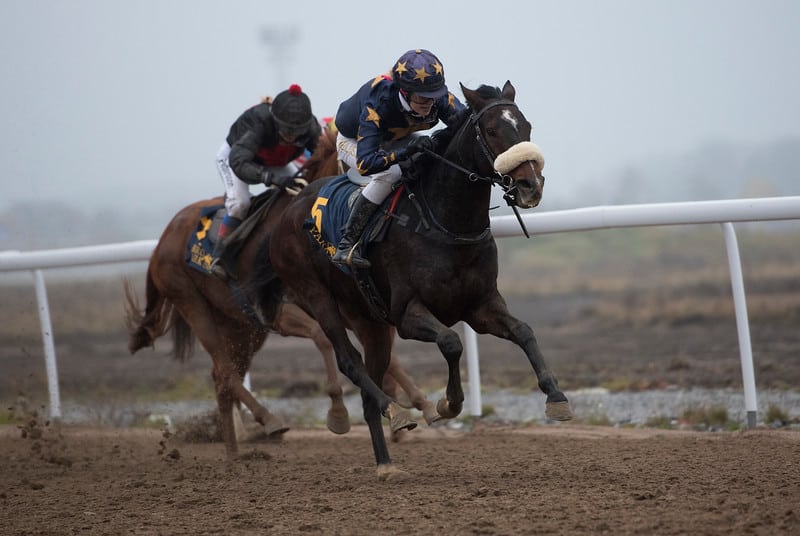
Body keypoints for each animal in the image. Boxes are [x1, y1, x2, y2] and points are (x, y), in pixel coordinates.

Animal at [124, 127, 434, 458]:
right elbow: (323, 338)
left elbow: (387, 356)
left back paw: (233, 452)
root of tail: (162, 240)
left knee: (221, 377)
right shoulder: (283, 309)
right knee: (227, 371)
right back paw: (269, 421)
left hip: (241, 327)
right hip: (192, 303)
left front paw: (419, 406)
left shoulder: (348, 306)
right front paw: (339, 411)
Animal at [272, 80, 572, 478]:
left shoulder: (481, 305)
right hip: (318, 297)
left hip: (369, 321)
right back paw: (396, 411)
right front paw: (448, 404)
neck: (445, 224)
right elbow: (451, 342)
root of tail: (286, 212)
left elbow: (524, 331)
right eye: (493, 131)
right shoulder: (407, 314)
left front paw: (557, 397)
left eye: (527, 127)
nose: (530, 185)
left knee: (369, 385)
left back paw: (386, 462)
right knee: (350, 362)